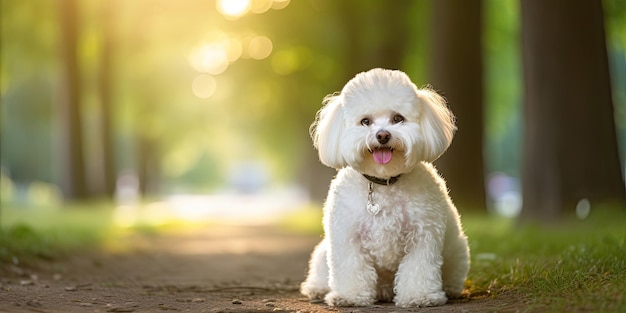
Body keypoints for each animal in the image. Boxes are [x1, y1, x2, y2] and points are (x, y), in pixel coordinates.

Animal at [298, 69, 468, 308]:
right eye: (365, 121)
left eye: (397, 118)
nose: (382, 135)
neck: (384, 182)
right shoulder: (347, 237)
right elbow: (351, 267)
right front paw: (350, 296)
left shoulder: (423, 235)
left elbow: (419, 267)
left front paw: (420, 296)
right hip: (324, 251)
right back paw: (318, 288)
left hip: (457, 251)